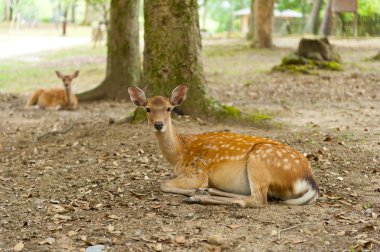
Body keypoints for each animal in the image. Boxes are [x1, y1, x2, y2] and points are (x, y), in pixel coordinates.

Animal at [128, 84, 320, 207]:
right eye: (147, 109)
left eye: (169, 108)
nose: (158, 124)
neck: (179, 154)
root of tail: (309, 180)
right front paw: (200, 191)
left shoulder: (197, 172)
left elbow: (164, 184)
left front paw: (194, 192)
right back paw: (207, 192)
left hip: (259, 160)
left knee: (256, 200)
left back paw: (199, 197)